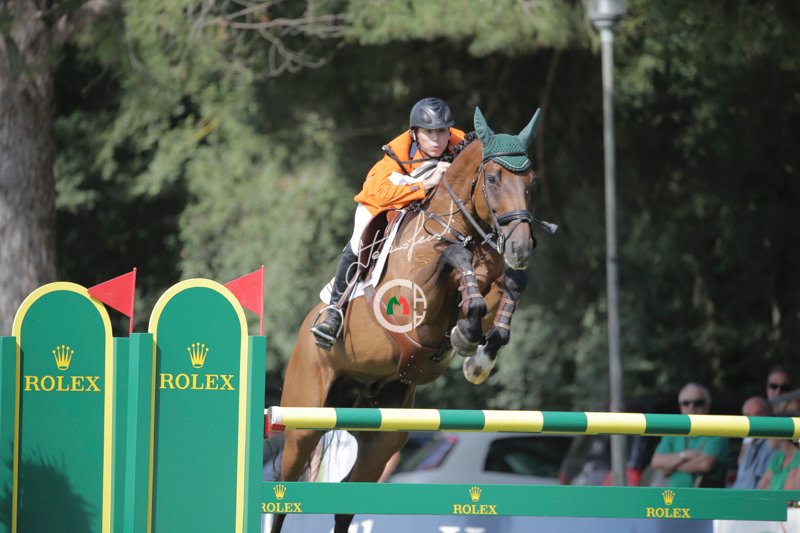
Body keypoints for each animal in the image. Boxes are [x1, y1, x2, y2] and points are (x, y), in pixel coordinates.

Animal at [271, 107, 549, 533]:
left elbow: (508, 288)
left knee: (348, 498)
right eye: (492, 178)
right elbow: (453, 258)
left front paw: (478, 357)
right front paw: (466, 336)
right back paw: (328, 323)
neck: (461, 228)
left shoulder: (493, 281)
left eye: (531, 181)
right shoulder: (414, 305)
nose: (520, 247)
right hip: (304, 422)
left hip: (383, 436)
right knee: (283, 494)